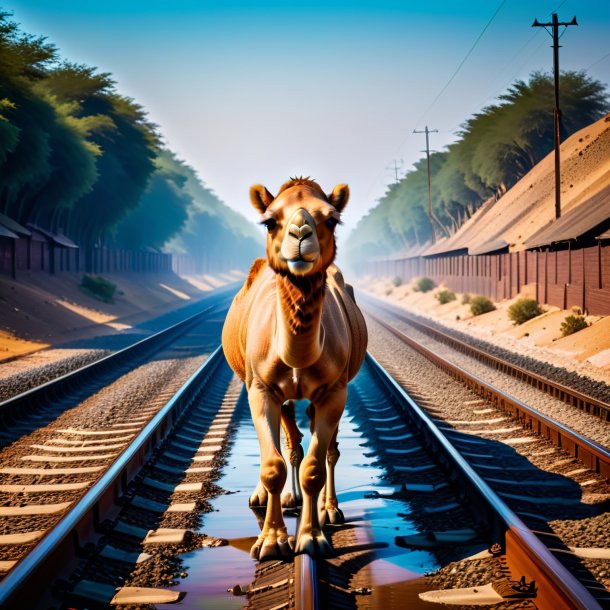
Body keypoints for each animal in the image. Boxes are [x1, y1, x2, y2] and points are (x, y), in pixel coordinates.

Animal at [222, 178, 368, 560]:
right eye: (270, 221)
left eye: (331, 219)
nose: (300, 233)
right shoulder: (261, 388)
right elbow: (272, 464)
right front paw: (272, 542)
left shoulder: (334, 391)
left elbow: (315, 466)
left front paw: (312, 538)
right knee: (289, 444)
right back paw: (276, 498)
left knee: (323, 449)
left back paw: (327, 509)